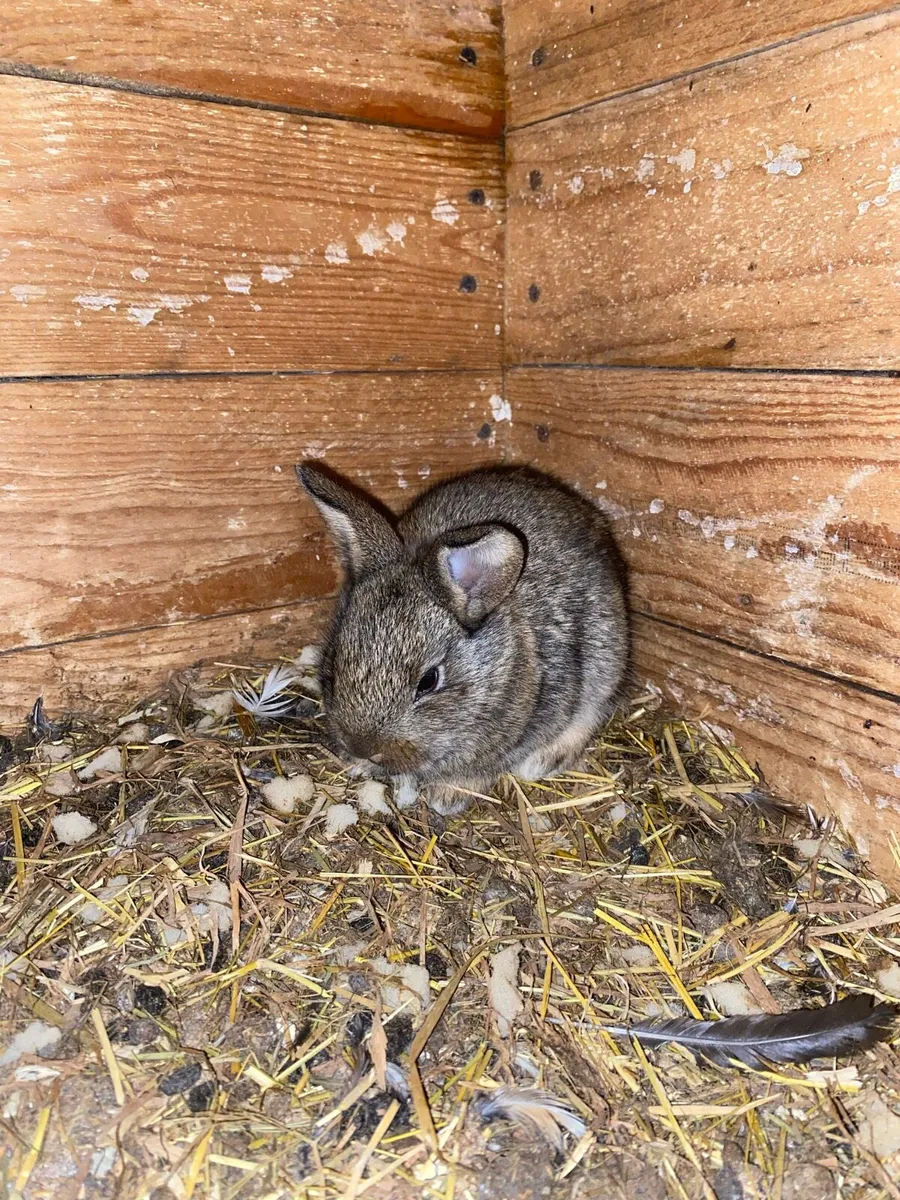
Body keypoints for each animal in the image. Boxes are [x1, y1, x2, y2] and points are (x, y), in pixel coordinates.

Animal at [297, 463, 629, 815]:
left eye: (428, 681)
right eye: (335, 661)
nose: (362, 748)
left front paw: (447, 796)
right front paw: (360, 766)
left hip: (606, 658)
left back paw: (544, 761)